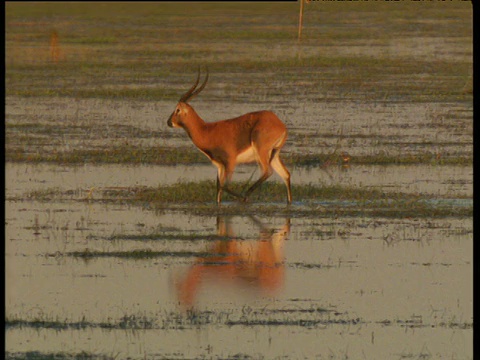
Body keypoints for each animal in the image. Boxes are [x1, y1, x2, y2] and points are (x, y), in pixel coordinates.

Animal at [167, 67, 290, 204]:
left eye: (177, 109)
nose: (169, 122)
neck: (207, 130)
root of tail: (280, 125)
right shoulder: (219, 166)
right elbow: (218, 190)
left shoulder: (230, 162)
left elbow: (224, 185)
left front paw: (242, 197)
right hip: (274, 155)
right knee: (286, 174)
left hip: (261, 152)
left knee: (268, 171)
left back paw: (246, 195)